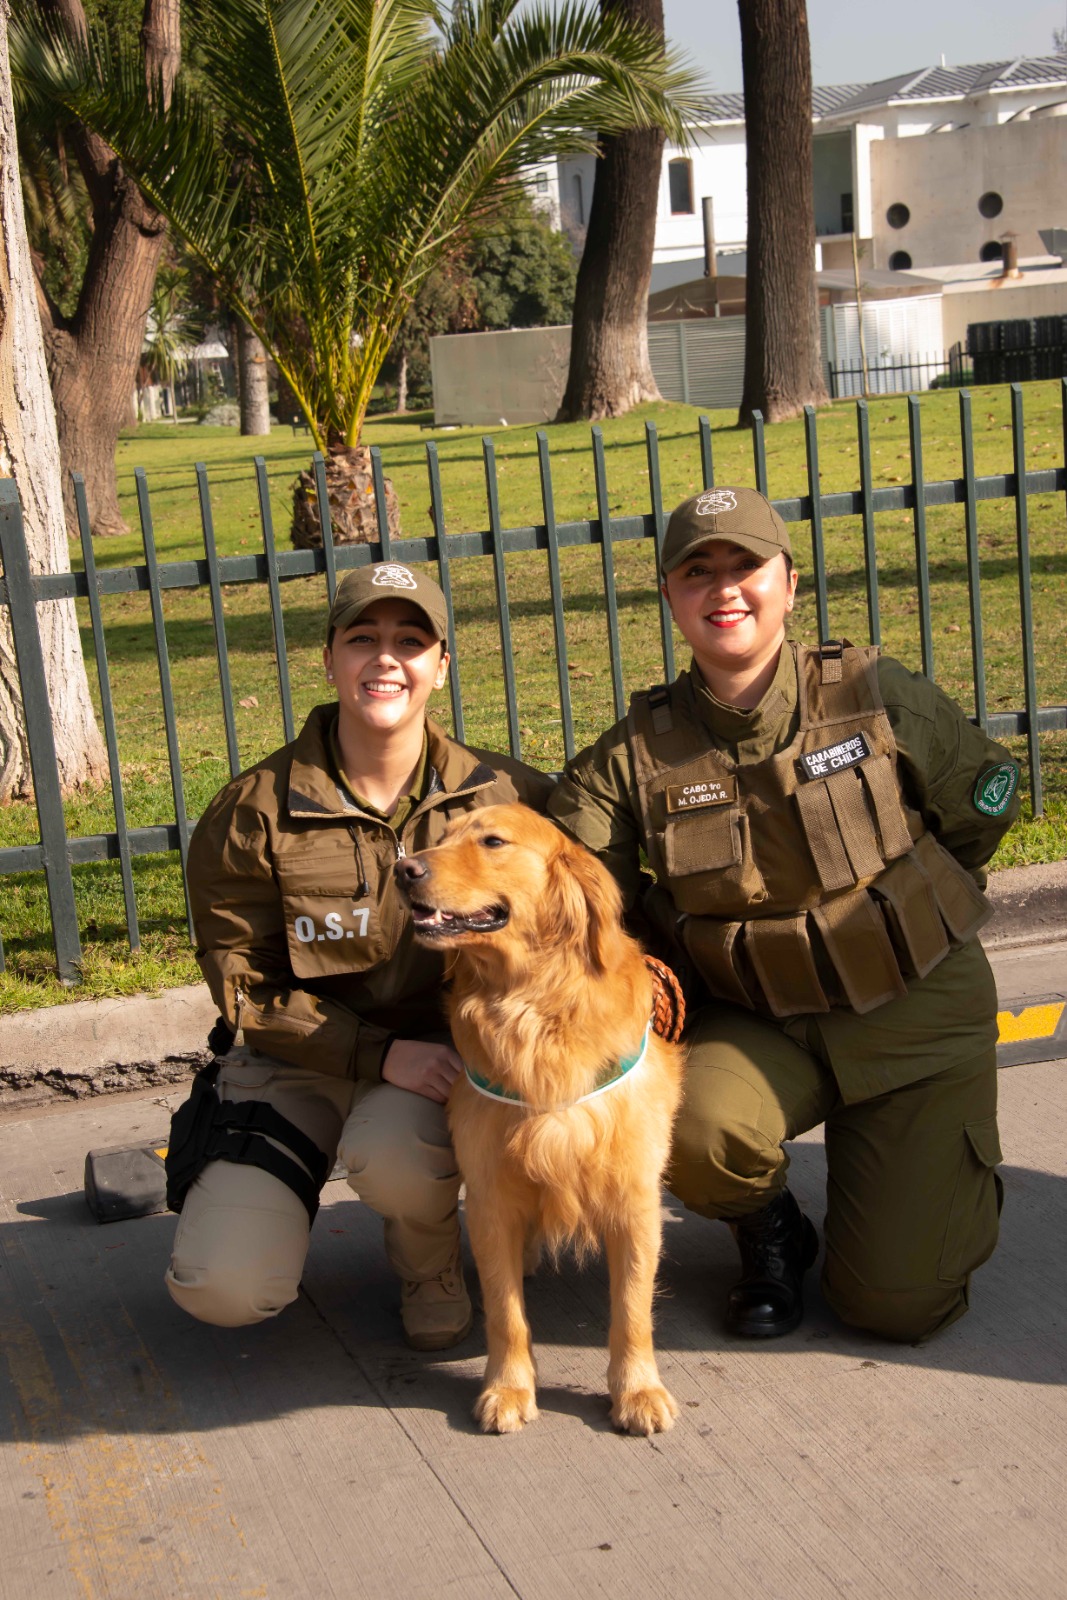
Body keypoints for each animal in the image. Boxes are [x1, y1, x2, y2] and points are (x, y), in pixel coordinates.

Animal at [395, 800, 684, 1440]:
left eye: (493, 841)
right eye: (441, 836)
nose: (403, 870)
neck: (532, 1003)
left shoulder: (634, 1197)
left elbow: (632, 1308)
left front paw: (637, 1391)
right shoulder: (490, 1200)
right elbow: (506, 1313)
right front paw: (508, 1388)